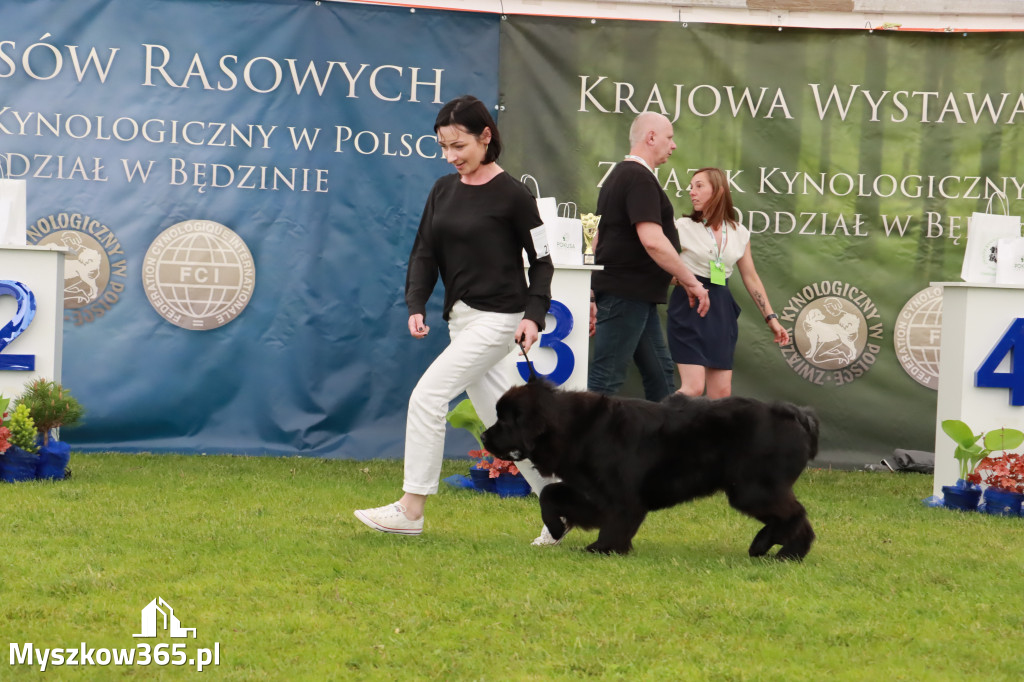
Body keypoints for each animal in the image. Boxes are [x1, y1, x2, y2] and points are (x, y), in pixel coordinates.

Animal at [481, 376, 823, 557]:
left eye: (505, 421)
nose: (483, 436)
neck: (577, 429)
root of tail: (796, 414)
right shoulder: (590, 491)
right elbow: (549, 495)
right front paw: (555, 529)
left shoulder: (621, 497)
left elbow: (617, 522)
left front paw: (603, 548)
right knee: (797, 519)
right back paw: (781, 551)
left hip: (752, 489)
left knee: (795, 514)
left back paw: (773, 548)